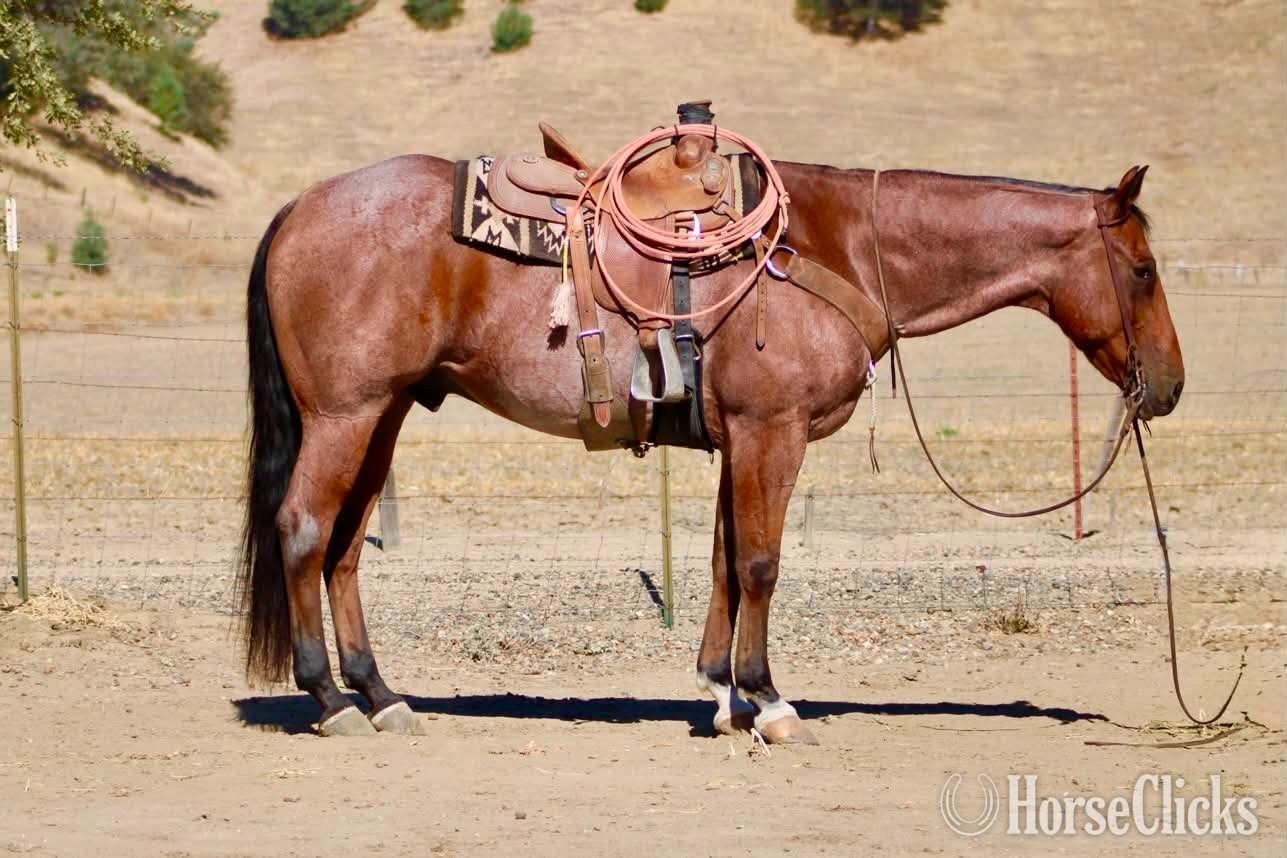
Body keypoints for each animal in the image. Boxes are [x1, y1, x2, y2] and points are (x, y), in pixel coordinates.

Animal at [236, 154, 1182, 742]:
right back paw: (329, 697)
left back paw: (381, 694)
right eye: (1142, 271)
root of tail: (298, 208)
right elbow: (760, 562)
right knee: (303, 530)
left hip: (384, 413)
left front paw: (724, 695)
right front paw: (767, 699)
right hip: (345, 414)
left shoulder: (742, 439)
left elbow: (728, 559)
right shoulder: (772, 431)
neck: (839, 246)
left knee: (346, 546)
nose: (1168, 386)